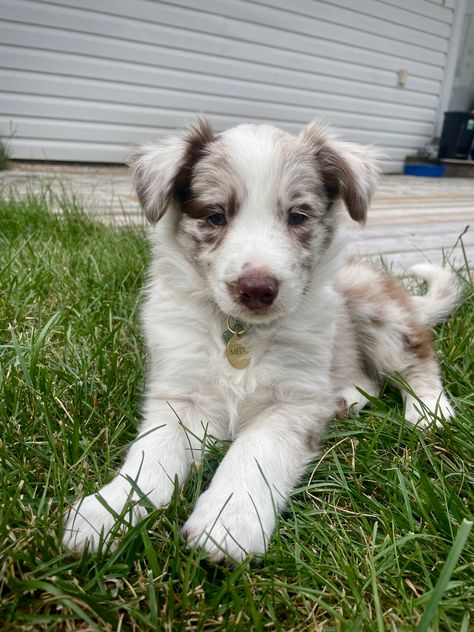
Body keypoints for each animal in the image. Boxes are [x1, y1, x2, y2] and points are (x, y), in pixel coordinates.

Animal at [63, 117, 460, 556]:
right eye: (216, 216)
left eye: (297, 216)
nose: (256, 289)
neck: (241, 331)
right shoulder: (181, 396)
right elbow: (152, 451)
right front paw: (108, 509)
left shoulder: (290, 403)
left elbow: (252, 452)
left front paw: (226, 520)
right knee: (367, 379)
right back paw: (346, 400)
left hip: (374, 306)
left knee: (417, 361)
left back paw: (429, 411)